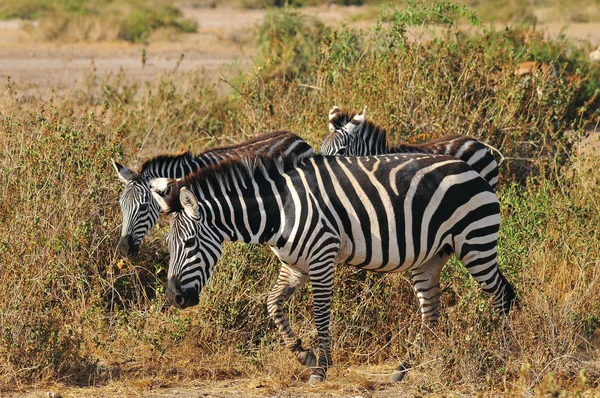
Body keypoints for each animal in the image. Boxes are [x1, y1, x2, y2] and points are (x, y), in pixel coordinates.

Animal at [150, 145, 516, 382]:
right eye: (168, 245)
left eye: (189, 244)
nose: (174, 298)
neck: (279, 210)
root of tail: (473, 169)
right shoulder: (294, 265)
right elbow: (273, 304)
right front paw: (304, 355)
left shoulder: (322, 256)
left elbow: (321, 313)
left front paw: (321, 367)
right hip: (431, 257)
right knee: (431, 313)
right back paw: (404, 369)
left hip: (475, 242)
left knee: (502, 295)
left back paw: (502, 355)